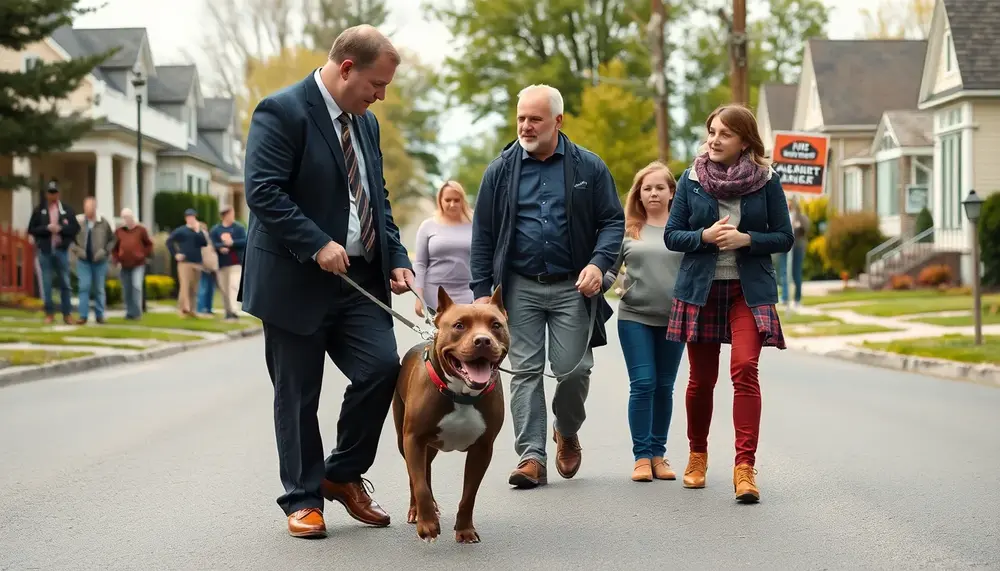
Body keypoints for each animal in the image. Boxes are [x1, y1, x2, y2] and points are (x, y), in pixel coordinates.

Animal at [392, 288, 512, 544]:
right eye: (459, 325)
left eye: (496, 325)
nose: (483, 340)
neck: (462, 394)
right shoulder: (413, 439)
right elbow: (419, 484)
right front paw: (427, 525)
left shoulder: (482, 448)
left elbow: (469, 494)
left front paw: (465, 530)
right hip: (403, 439)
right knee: (415, 475)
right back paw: (417, 511)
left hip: (431, 446)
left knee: (425, 468)